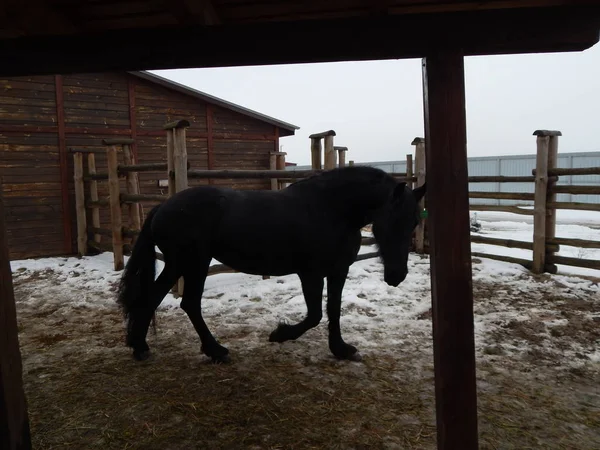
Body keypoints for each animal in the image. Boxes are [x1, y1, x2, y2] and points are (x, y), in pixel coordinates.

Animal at [116, 164, 426, 362]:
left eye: (414, 222)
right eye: (392, 220)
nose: (397, 276)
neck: (331, 209)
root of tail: (162, 206)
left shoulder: (338, 271)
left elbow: (333, 311)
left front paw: (340, 349)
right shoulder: (310, 273)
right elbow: (315, 315)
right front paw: (280, 334)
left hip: (180, 264)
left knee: (157, 299)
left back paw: (142, 347)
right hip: (192, 263)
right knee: (186, 302)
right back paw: (213, 351)